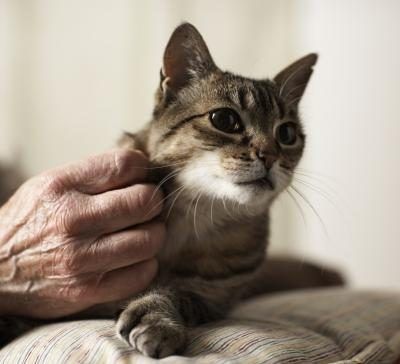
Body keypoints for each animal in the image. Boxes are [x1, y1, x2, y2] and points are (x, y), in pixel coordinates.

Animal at [114, 23, 320, 358]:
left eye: (287, 134)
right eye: (225, 119)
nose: (269, 155)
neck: (194, 217)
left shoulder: (211, 300)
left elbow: (174, 291)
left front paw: (157, 317)